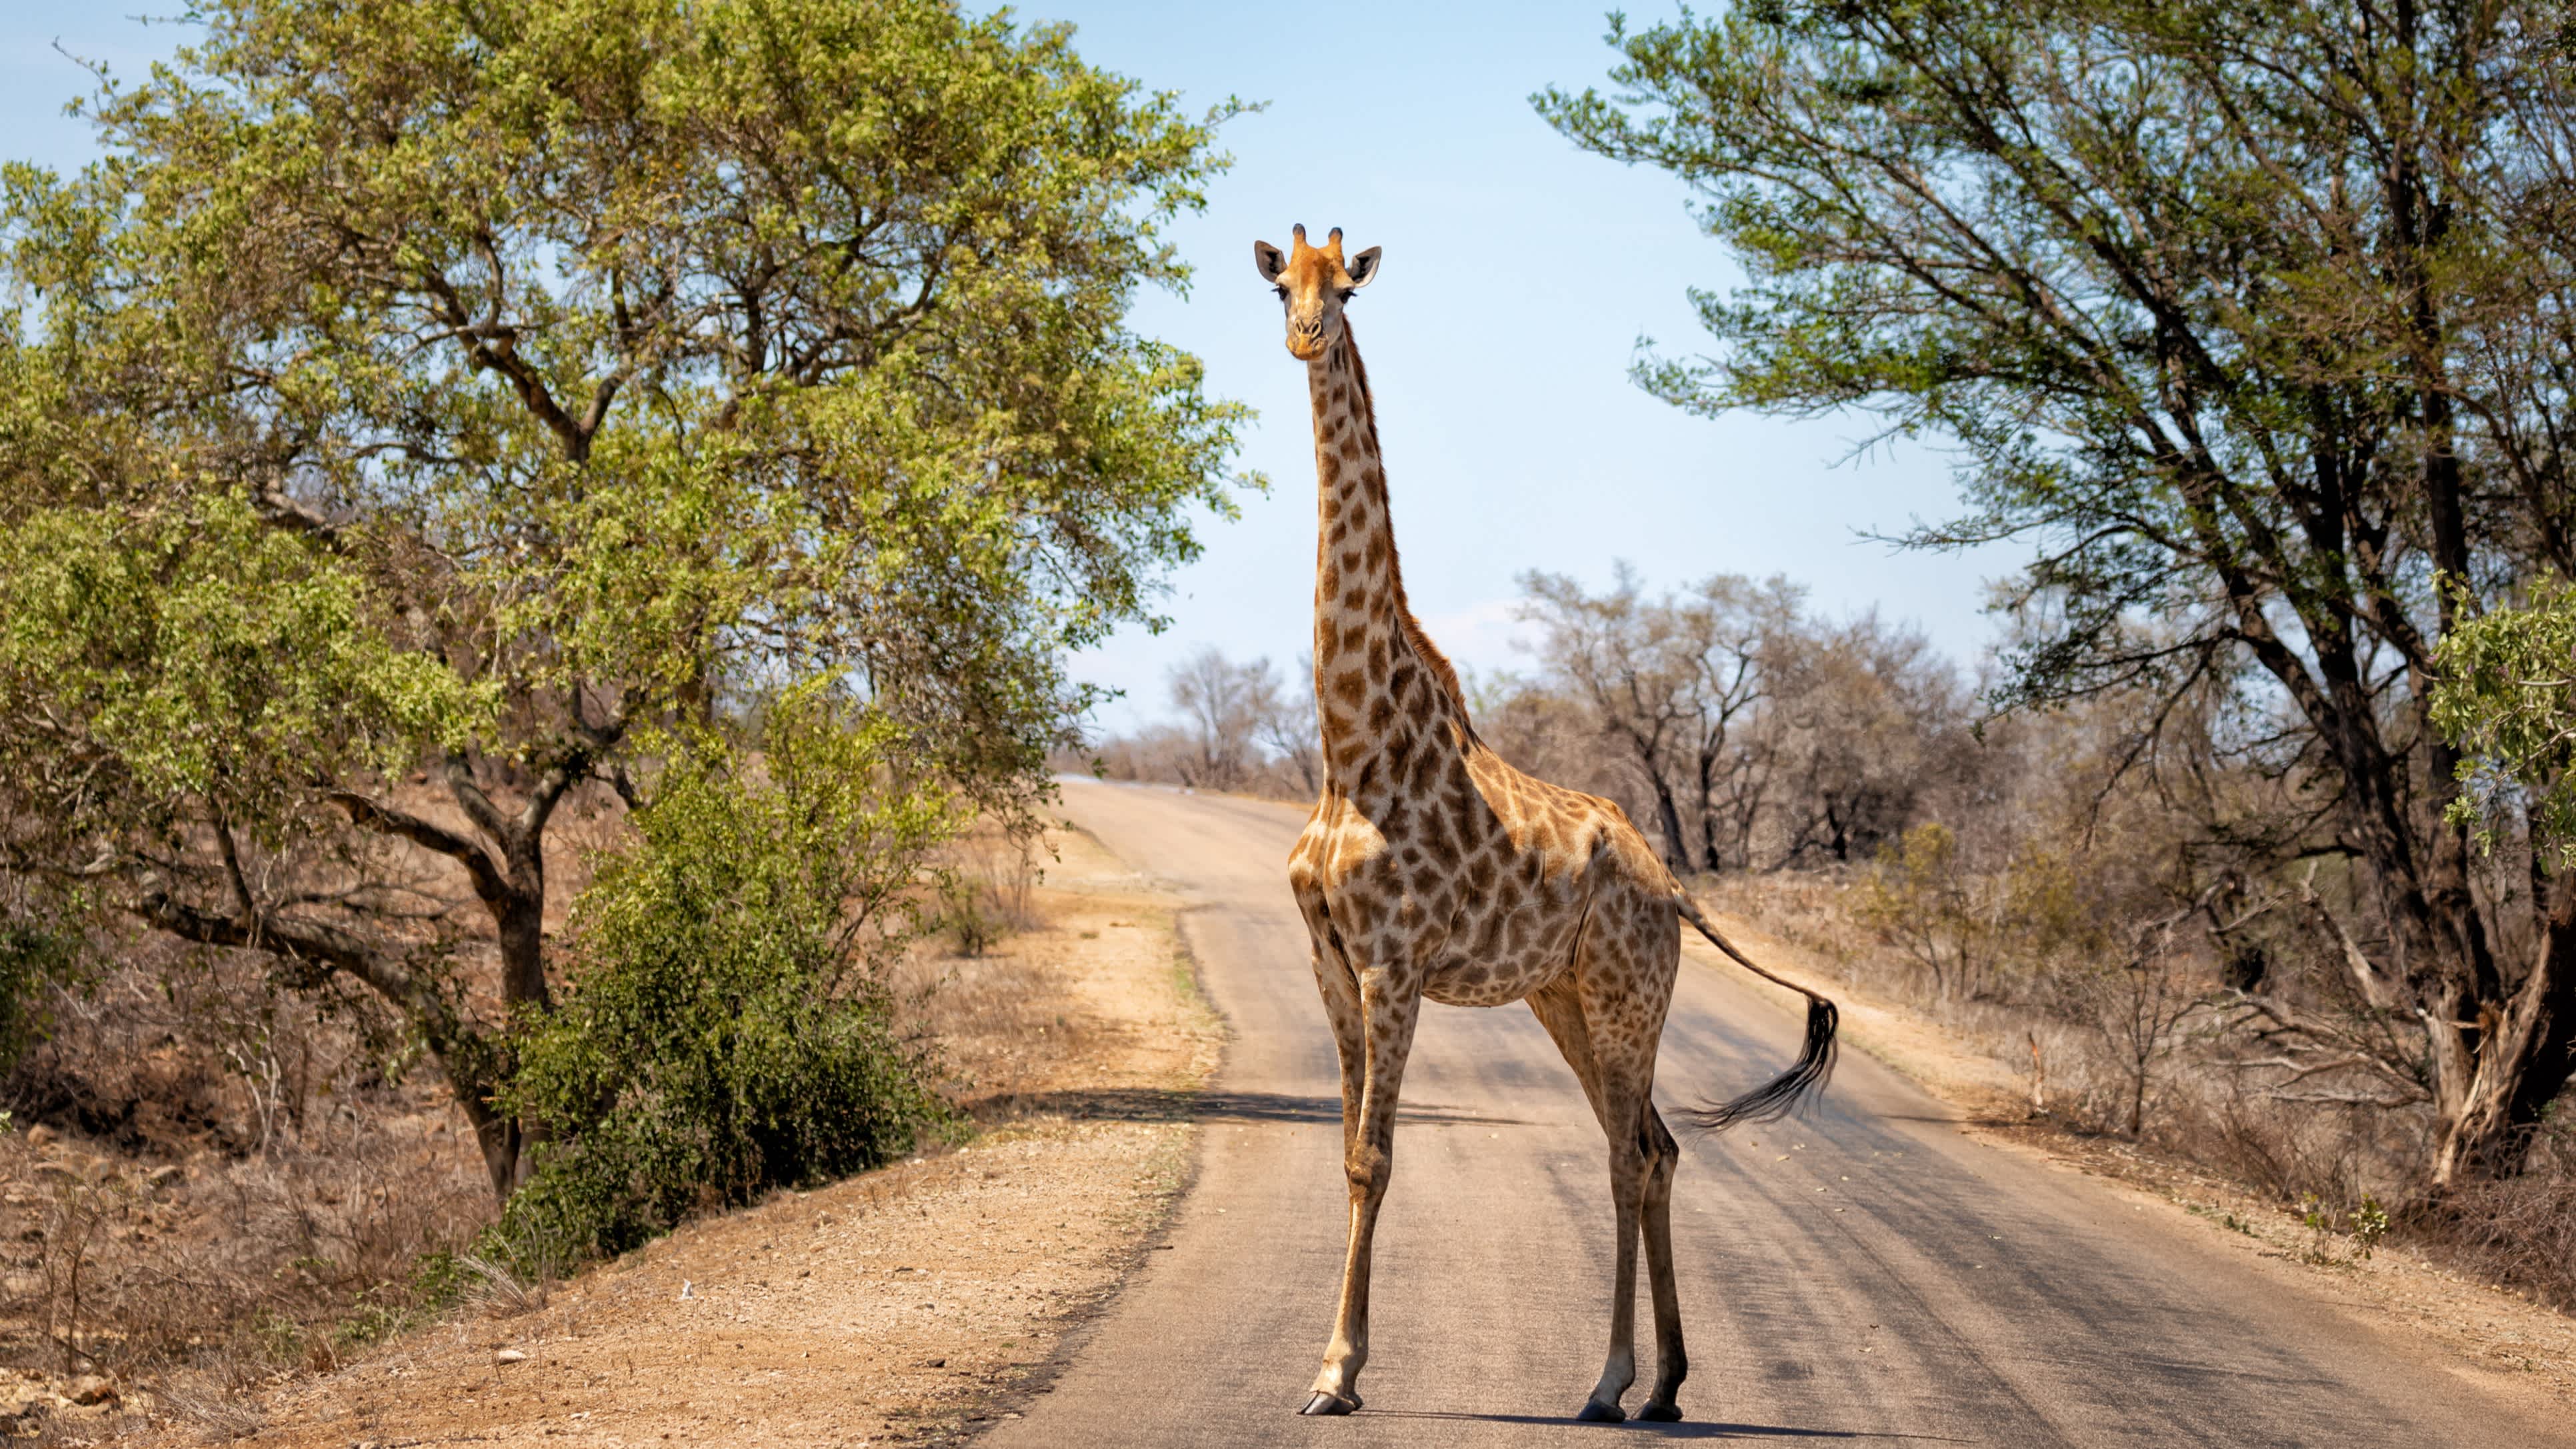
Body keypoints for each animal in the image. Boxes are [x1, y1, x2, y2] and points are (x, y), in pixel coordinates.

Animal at [1262, 228, 1834, 1423]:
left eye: (1344, 290)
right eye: (1279, 282)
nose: (1304, 335)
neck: (1349, 745)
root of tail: (1673, 886)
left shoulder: (1392, 964)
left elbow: (1374, 1158)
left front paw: (1337, 1372)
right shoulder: (1329, 961)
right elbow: (1345, 1150)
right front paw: (1332, 1364)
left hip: (1624, 997)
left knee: (1629, 1154)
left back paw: (1609, 1381)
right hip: (1562, 996)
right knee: (1655, 1146)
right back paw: (1663, 1386)